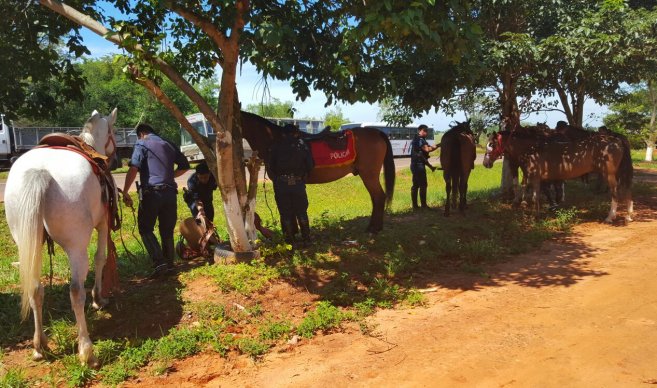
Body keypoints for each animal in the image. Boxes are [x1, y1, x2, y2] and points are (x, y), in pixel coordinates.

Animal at [5, 108, 118, 366]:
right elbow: (101, 258)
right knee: (76, 291)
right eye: (113, 132)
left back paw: (40, 345)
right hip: (76, 248)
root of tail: (39, 172)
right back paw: (86, 350)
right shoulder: (103, 225)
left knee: (35, 289)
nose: (115, 158)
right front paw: (99, 299)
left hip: (29, 245)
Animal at [241, 112, 394, 233]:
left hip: (369, 175)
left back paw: (374, 229)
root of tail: (377, 132)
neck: (276, 139)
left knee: (379, 197)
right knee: (376, 198)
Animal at [484, 130, 632, 223]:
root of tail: (616, 140)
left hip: (610, 174)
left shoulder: (535, 178)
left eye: (492, 144)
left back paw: (610, 217)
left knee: (615, 193)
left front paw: (536, 217)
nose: (486, 163)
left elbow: (535, 197)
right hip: (619, 173)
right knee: (626, 190)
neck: (532, 150)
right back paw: (628, 216)